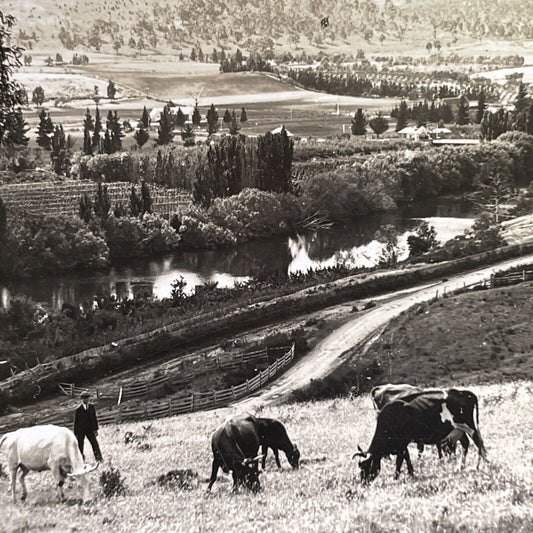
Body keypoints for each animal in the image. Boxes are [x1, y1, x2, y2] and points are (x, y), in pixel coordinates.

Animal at [354, 386, 486, 482]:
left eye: (365, 466)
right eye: (360, 466)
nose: (363, 482)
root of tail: (462, 392)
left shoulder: (402, 443)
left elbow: (400, 460)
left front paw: (396, 477)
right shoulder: (402, 444)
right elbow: (407, 457)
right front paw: (411, 473)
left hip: (469, 426)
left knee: (478, 442)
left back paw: (483, 464)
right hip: (458, 429)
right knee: (466, 443)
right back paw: (460, 467)